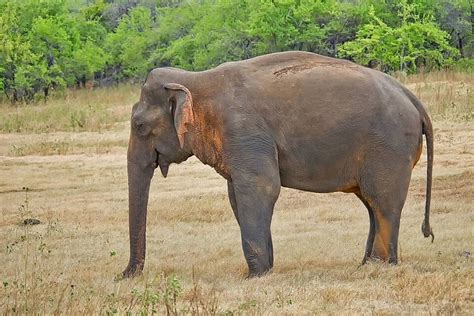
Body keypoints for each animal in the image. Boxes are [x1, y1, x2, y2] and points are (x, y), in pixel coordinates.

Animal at [121, 50, 434, 278]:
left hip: (389, 148)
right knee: (371, 203)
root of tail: (413, 99)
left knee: (382, 202)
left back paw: (378, 267)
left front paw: (255, 276)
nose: (125, 275)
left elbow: (260, 188)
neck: (196, 81)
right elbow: (236, 196)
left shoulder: (244, 132)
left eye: (139, 126)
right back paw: (367, 265)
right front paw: (265, 269)